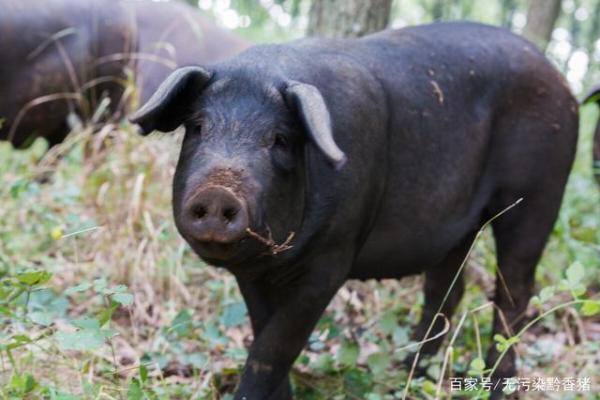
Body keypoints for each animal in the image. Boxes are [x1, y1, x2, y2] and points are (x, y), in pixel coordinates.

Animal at [130, 22, 576, 400]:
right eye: (197, 127)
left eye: (279, 139)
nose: (219, 191)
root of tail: (563, 83)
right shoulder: (252, 273)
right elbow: (262, 332)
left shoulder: (333, 259)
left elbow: (274, 346)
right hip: (460, 224)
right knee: (447, 289)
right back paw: (407, 370)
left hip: (539, 194)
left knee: (515, 292)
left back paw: (495, 387)